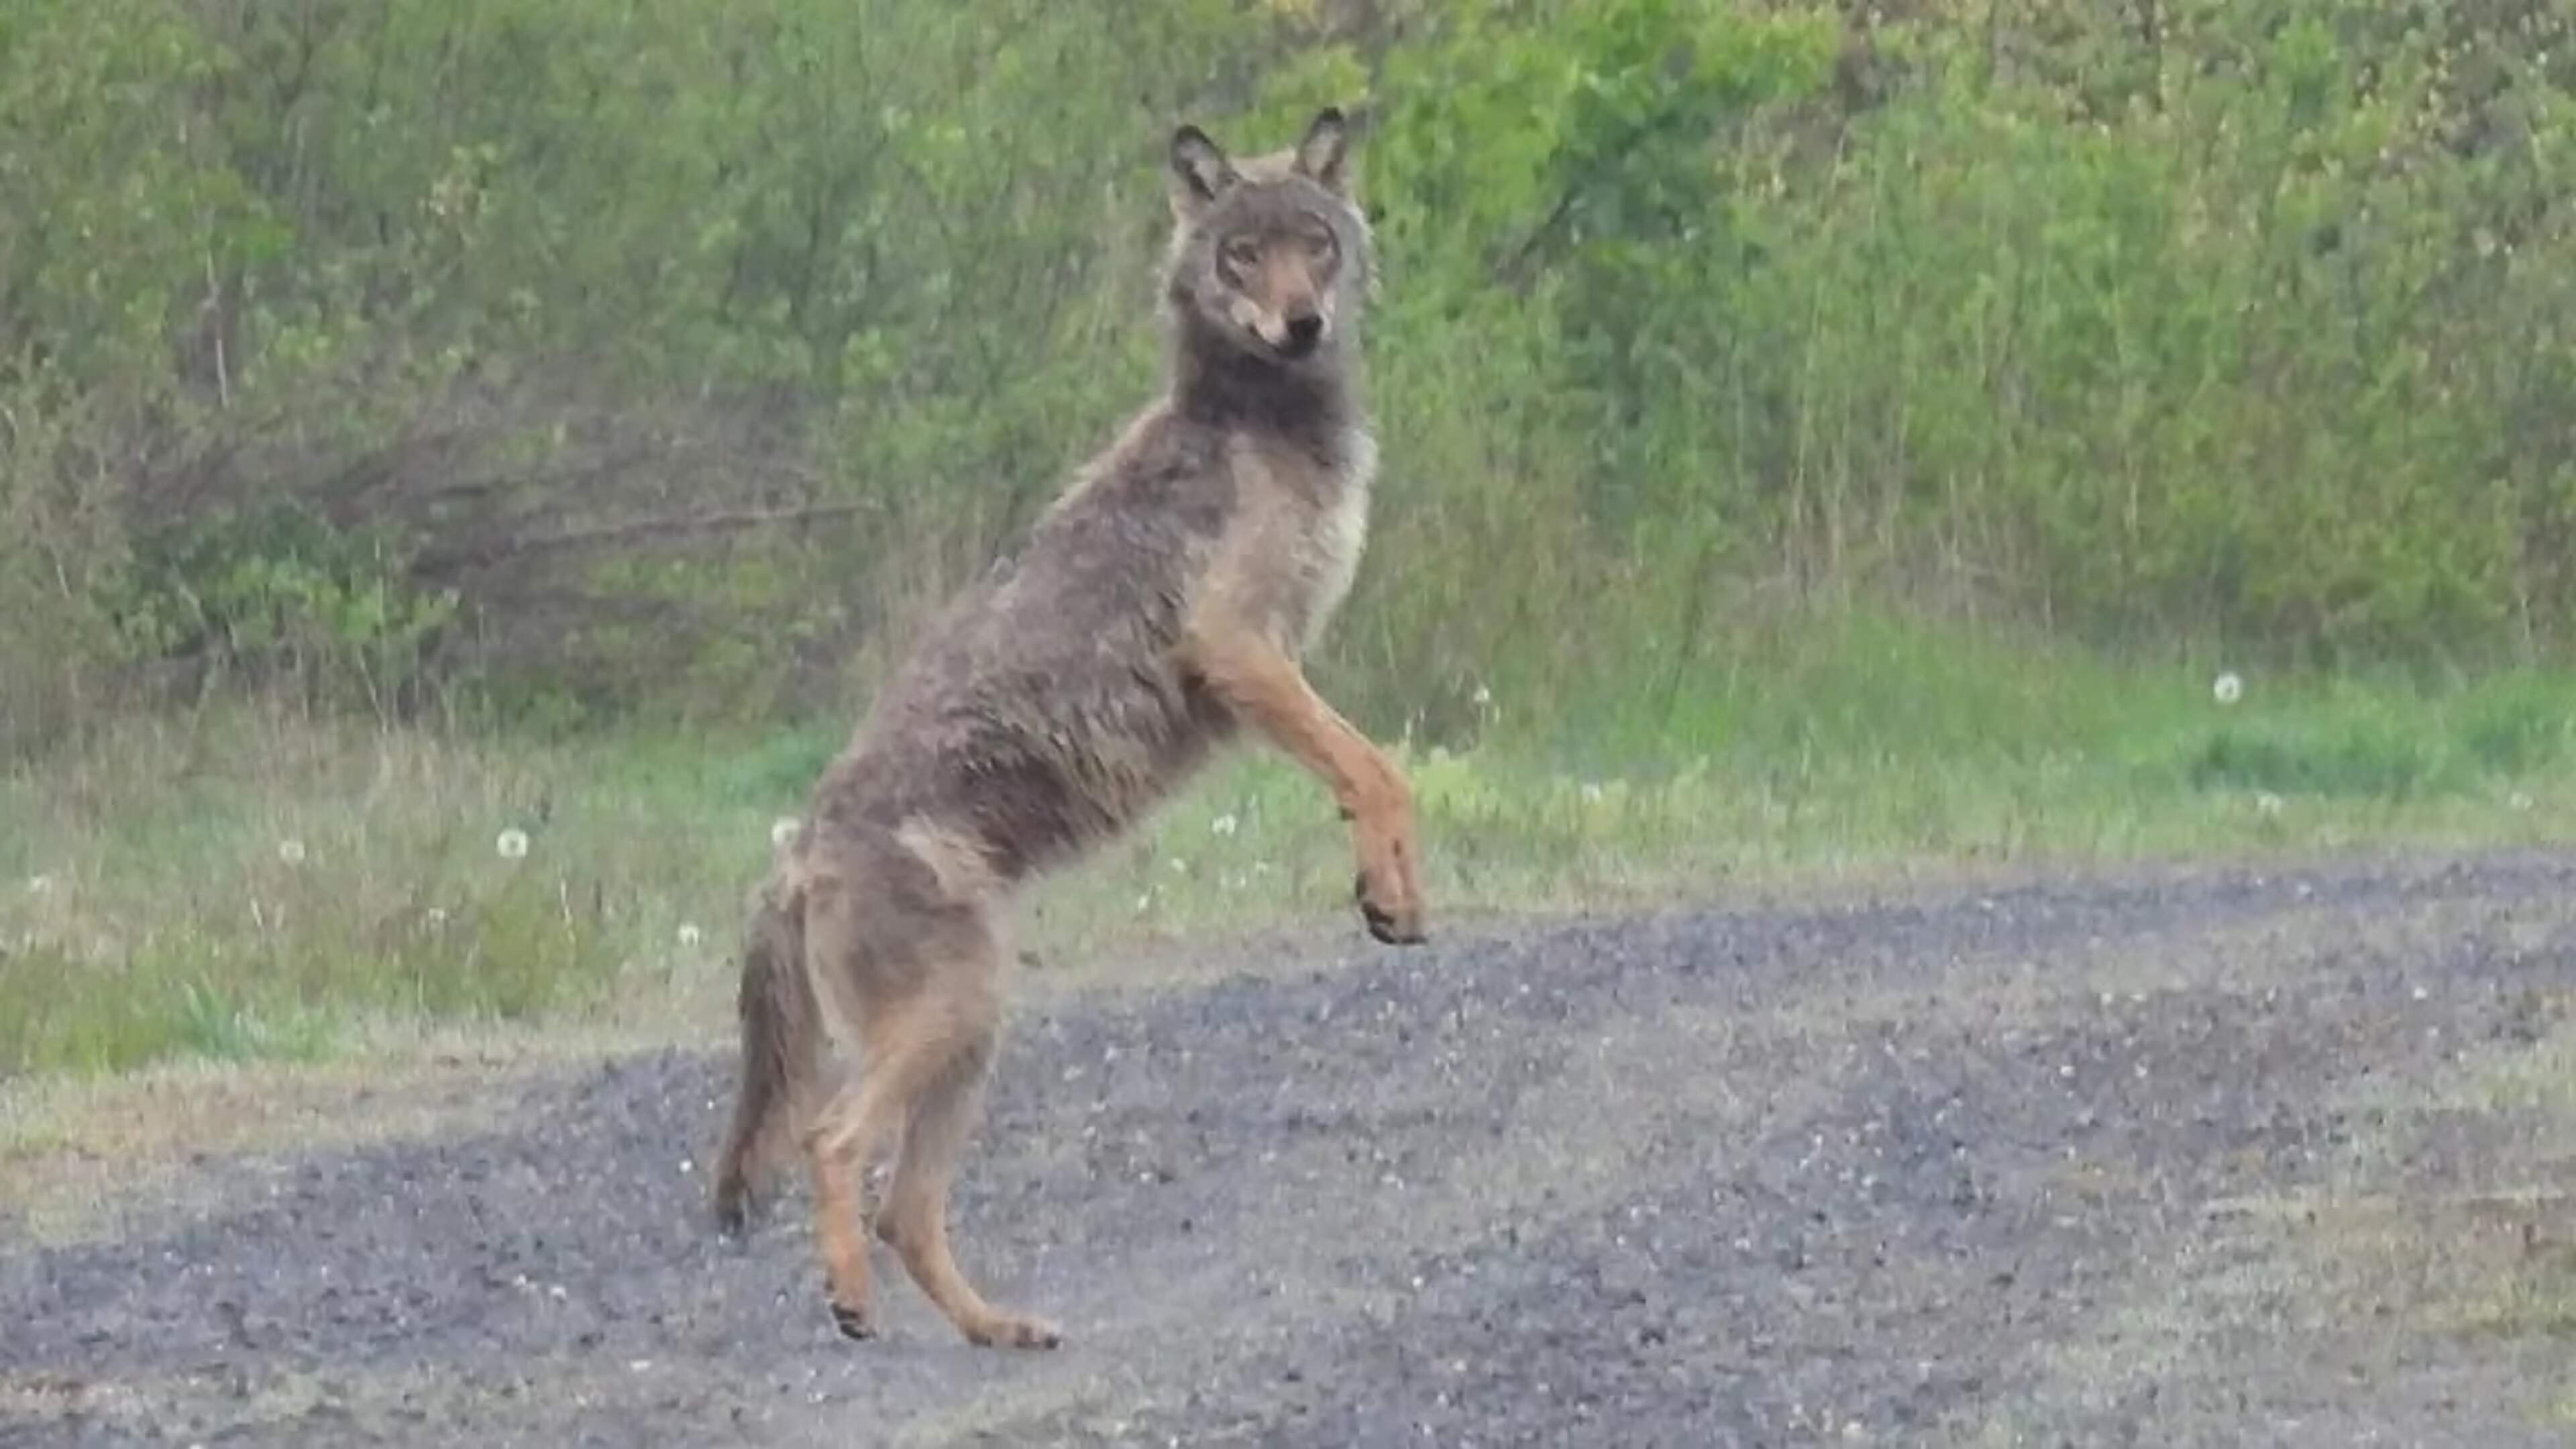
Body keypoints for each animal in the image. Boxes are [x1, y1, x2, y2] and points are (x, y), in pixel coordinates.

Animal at [708, 108, 1424, 1350]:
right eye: (1243, 255)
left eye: (1315, 245)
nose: (1301, 323)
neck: (1256, 428)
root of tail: (794, 856)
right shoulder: (1240, 651)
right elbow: (1380, 771)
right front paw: (1397, 891)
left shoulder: (1279, 666)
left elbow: (1359, 773)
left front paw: (1382, 892)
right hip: (952, 1017)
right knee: (832, 1144)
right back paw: (852, 1305)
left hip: (976, 1030)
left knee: (907, 1210)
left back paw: (999, 1330)